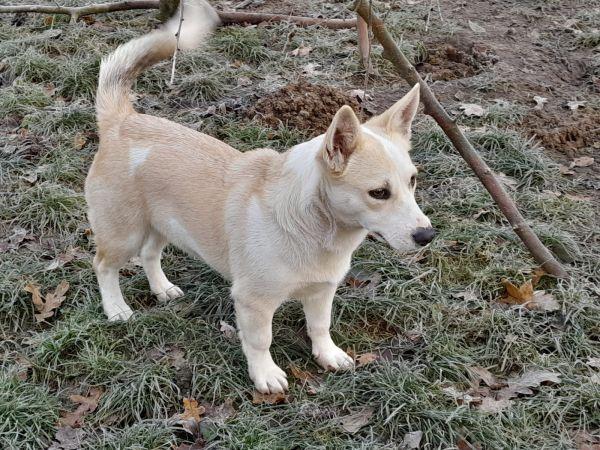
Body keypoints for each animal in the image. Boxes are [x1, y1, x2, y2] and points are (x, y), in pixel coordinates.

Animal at [85, 0, 435, 393]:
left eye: (413, 181)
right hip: (123, 233)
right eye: (379, 193)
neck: (314, 226)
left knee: (149, 254)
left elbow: (320, 326)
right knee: (104, 265)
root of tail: (121, 121)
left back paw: (162, 289)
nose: (427, 236)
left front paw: (327, 355)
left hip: (163, 224)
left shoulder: (322, 292)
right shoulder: (253, 302)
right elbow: (259, 340)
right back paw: (116, 309)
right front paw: (264, 374)